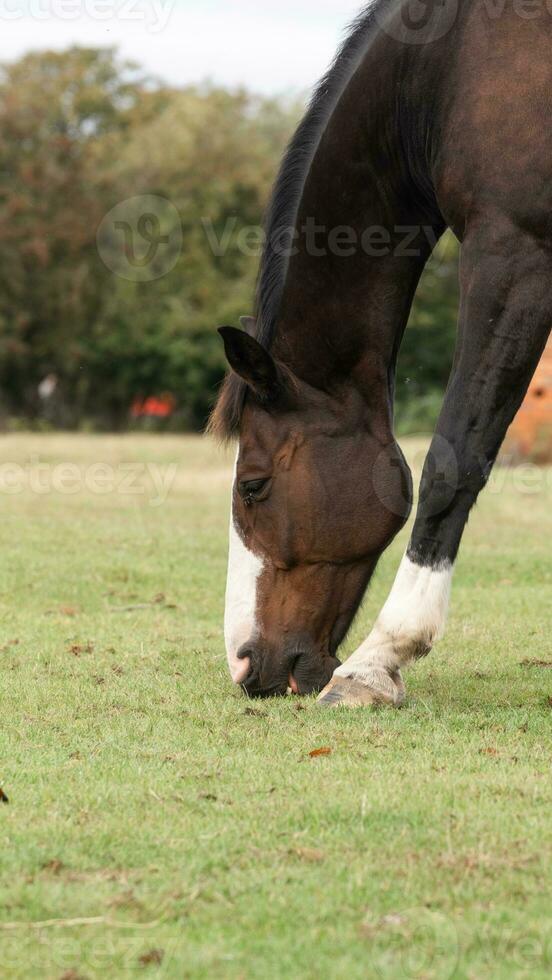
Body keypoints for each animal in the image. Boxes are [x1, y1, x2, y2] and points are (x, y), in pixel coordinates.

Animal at [209, 0, 548, 704]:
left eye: (253, 485)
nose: (243, 664)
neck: (446, 66)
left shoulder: (514, 253)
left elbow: (454, 458)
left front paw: (377, 661)